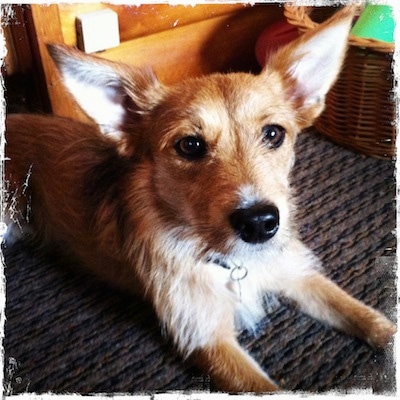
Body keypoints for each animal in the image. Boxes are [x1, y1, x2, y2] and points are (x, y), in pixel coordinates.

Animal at [4, 7, 396, 394]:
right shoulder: (206, 338)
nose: (259, 223)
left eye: (273, 134)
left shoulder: (298, 274)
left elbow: (367, 317)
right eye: (189, 145)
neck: (233, 263)